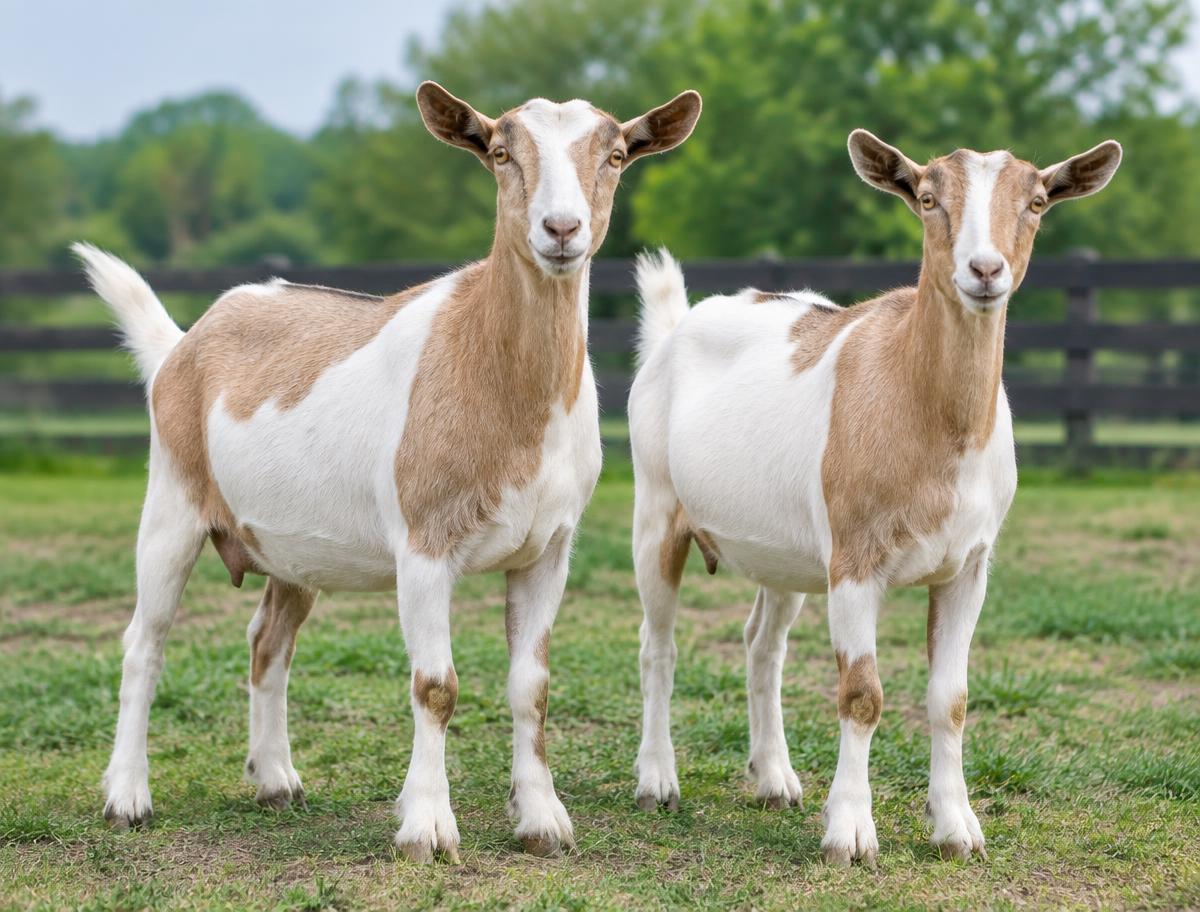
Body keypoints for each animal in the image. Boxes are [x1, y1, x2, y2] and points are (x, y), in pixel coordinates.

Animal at [74, 81, 701, 863]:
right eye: (500, 153)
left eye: (616, 155)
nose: (561, 228)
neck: (494, 375)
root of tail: (183, 343)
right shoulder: (425, 542)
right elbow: (435, 685)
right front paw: (427, 828)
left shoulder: (549, 549)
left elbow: (531, 686)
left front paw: (541, 820)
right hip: (172, 500)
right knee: (144, 643)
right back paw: (128, 796)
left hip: (292, 547)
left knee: (267, 642)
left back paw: (276, 780)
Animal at [628, 131, 1121, 865]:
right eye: (927, 197)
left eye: (1036, 202)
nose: (984, 269)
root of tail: (675, 326)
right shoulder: (856, 558)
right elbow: (861, 694)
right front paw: (850, 833)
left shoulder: (969, 565)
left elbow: (951, 698)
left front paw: (957, 828)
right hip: (656, 506)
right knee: (657, 643)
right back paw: (659, 781)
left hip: (788, 551)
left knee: (761, 643)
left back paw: (774, 778)